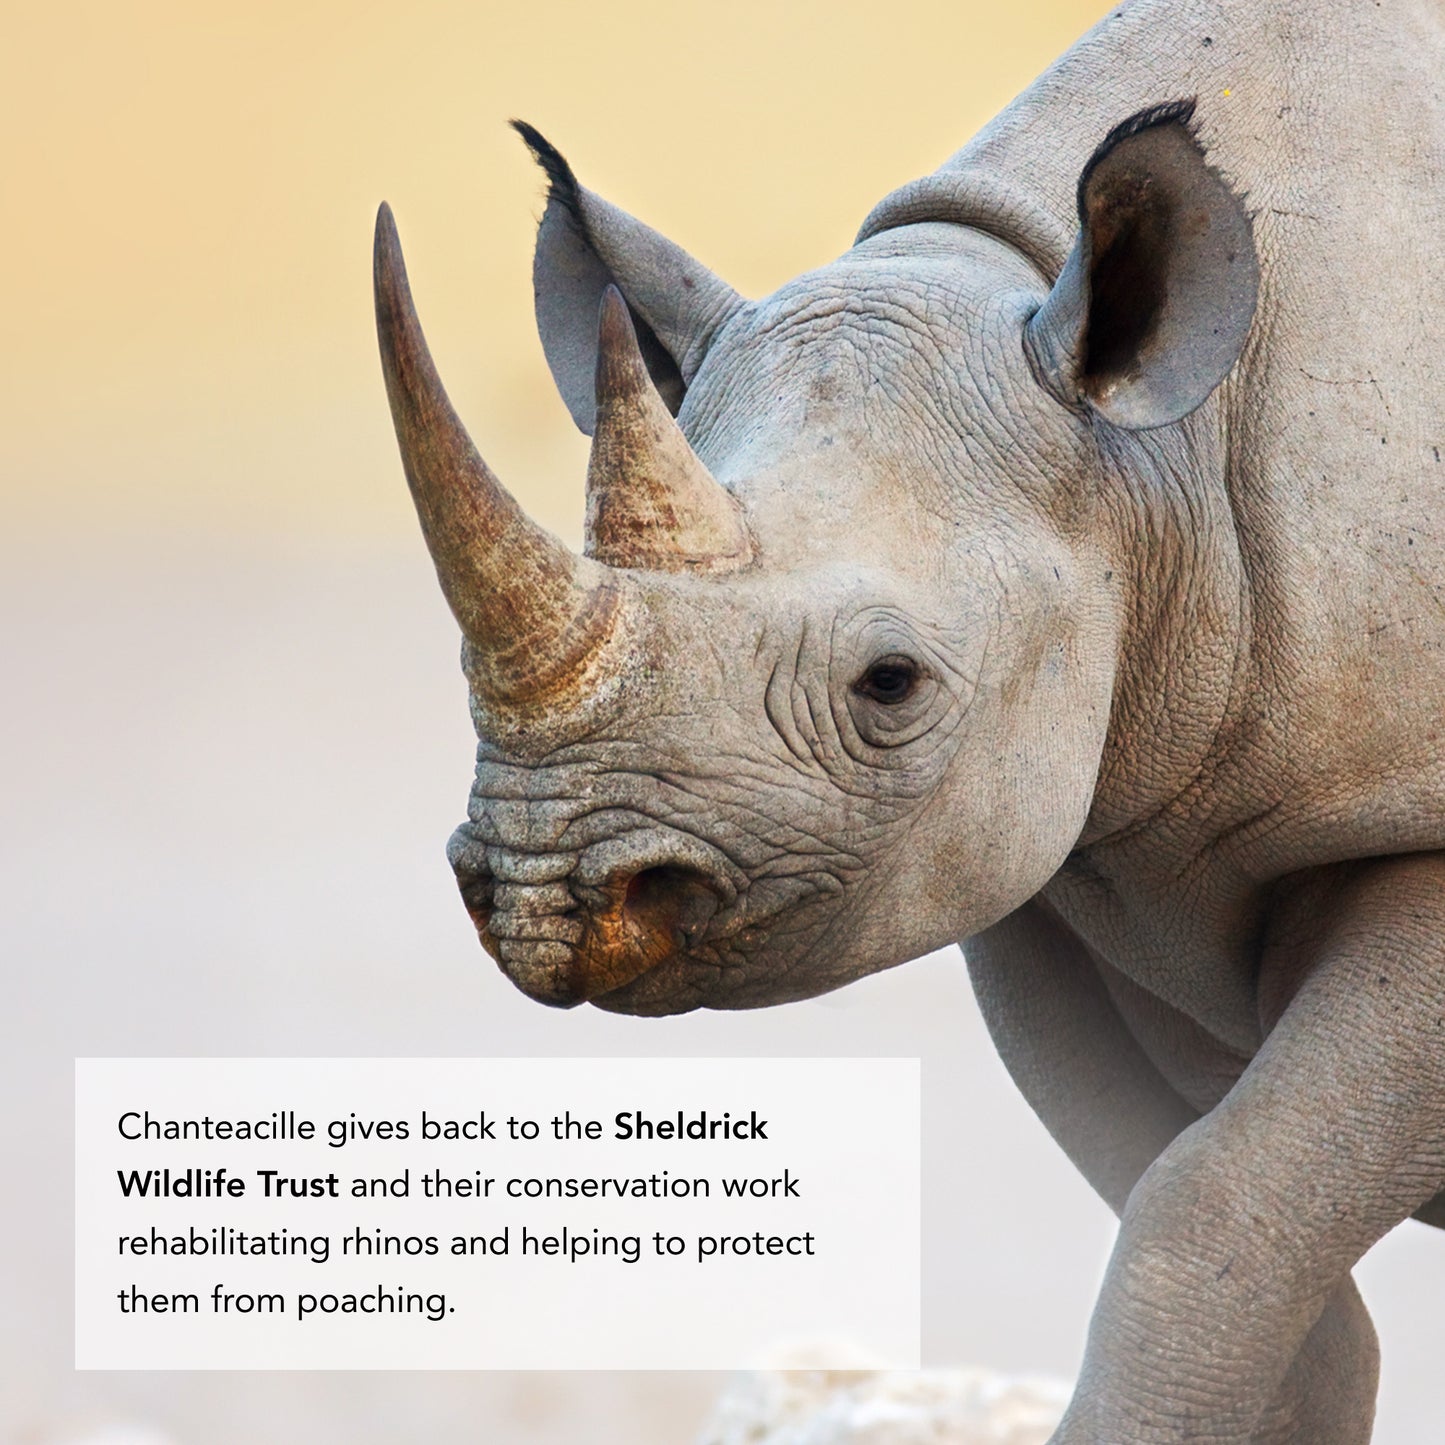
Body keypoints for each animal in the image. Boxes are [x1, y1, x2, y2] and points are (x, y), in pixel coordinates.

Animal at [373, 0, 1445, 1438]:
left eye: (890, 684)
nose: (544, 898)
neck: (1157, 457)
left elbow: (1212, 1206)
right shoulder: (1061, 843)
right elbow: (1209, 1215)